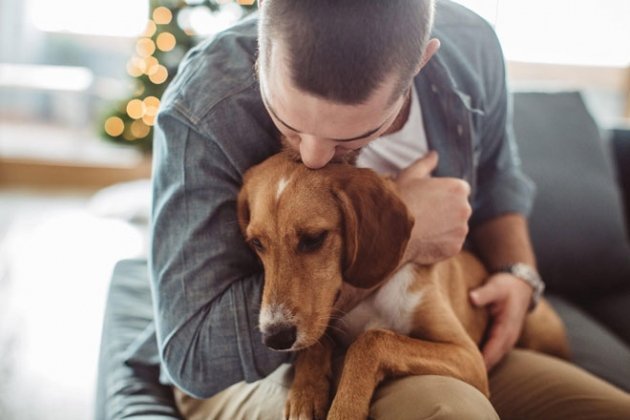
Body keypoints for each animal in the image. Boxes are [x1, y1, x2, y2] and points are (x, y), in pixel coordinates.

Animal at [237, 152, 572, 420]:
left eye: (313, 239)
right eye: (256, 243)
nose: (274, 337)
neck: (372, 297)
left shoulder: (468, 355)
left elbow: (372, 340)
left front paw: (345, 408)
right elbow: (317, 342)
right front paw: (306, 394)